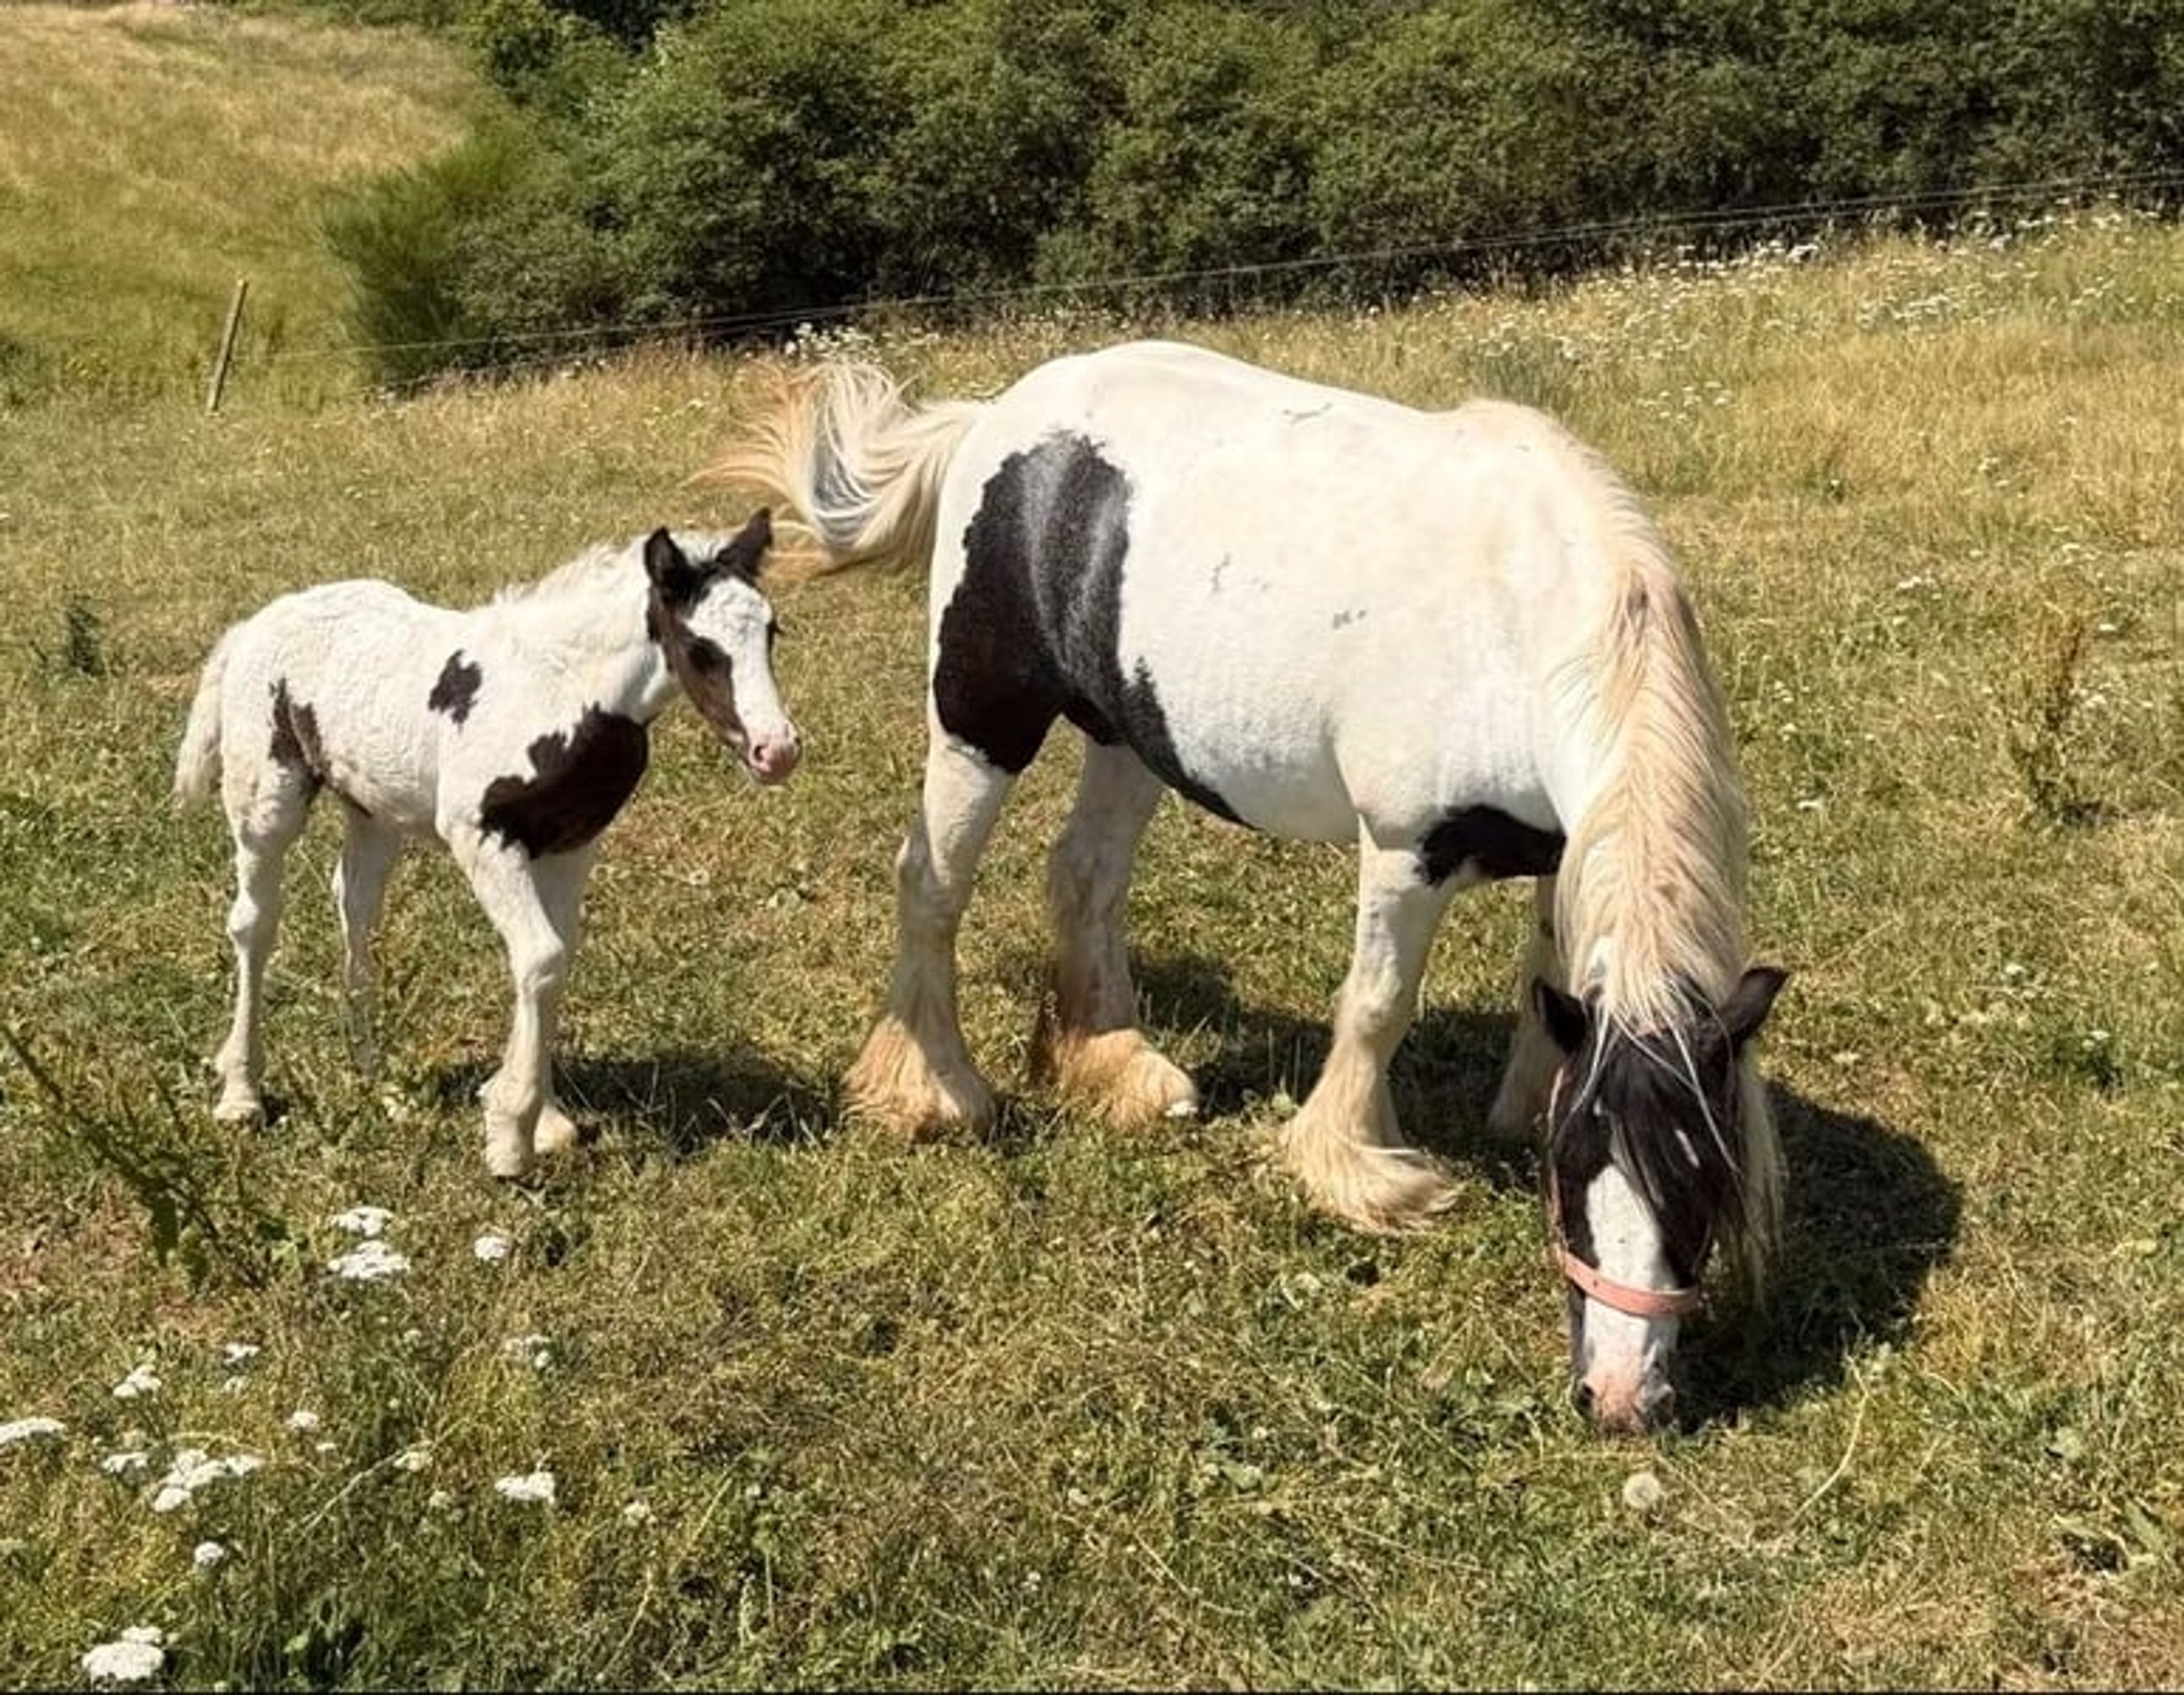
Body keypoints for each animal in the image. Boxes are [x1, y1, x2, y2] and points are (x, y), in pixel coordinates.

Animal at [171, 511, 799, 1179]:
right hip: (266, 799)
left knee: (355, 907)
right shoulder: (482, 836)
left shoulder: (571, 846)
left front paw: (545, 1119)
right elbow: (542, 957)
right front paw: (509, 1132)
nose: (777, 750)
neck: (559, 691)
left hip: (373, 811)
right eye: (701, 648)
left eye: (771, 632)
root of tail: (254, 624)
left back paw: (372, 1072)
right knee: (254, 923)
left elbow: (553, 960)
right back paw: (241, 1093)